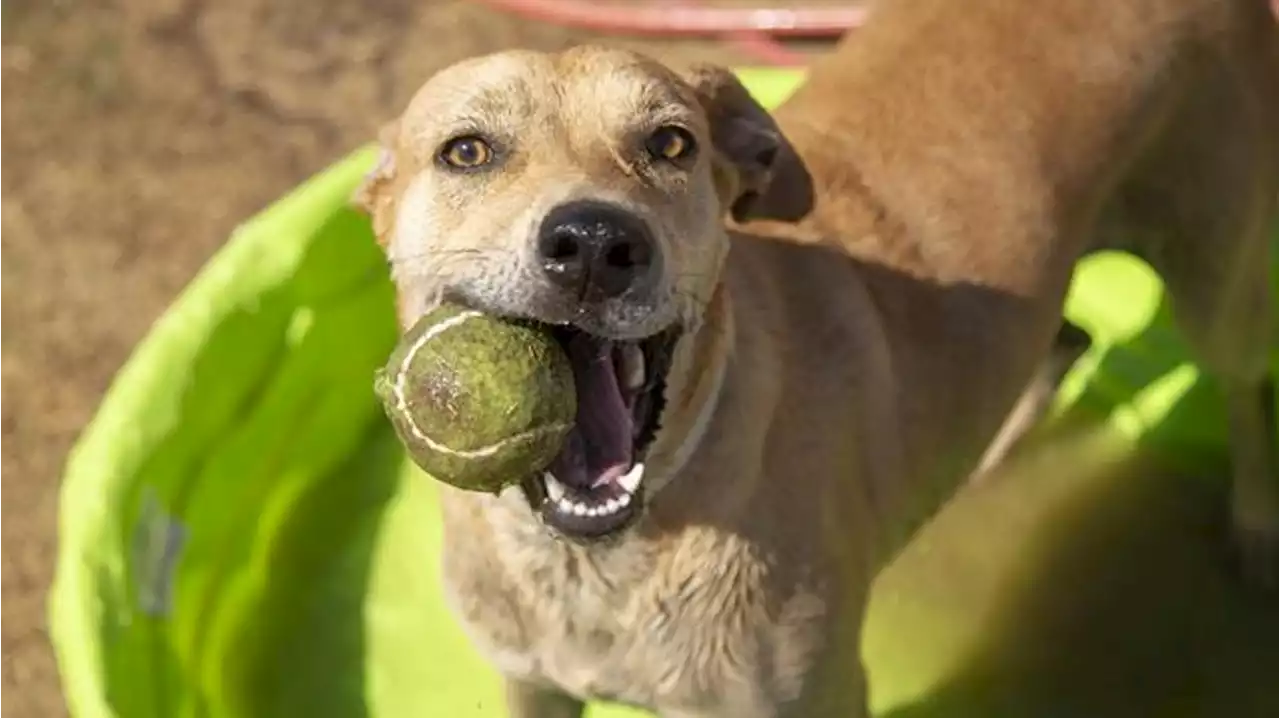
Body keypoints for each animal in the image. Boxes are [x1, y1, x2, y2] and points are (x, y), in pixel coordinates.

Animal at [353, 2, 1280, 711]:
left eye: (672, 144)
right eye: (466, 151)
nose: (593, 243)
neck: (602, 562)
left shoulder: (815, 695)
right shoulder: (531, 683)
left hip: (1215, 276)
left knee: (1243, 386)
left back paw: (1257, 529)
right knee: (1067, 338)